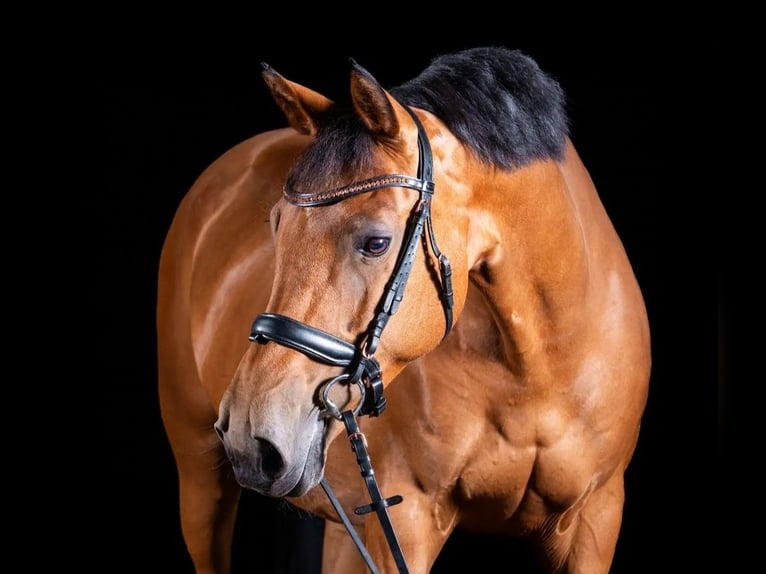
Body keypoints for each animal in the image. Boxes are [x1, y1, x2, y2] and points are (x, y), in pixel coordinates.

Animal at [158, 46, 656, 574]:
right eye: (276, 224)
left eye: (376, 242)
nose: (250, 433)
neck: (535, 369)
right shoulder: (404, 519)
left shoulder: (595, 517)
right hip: (200, 474)